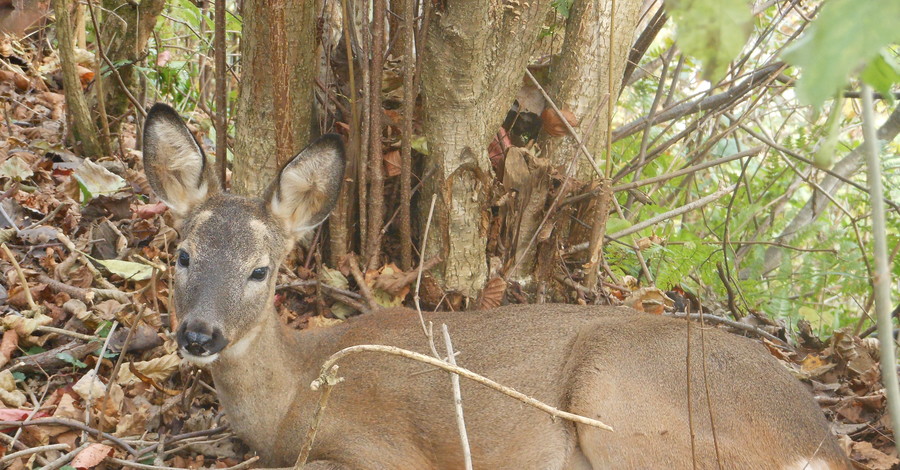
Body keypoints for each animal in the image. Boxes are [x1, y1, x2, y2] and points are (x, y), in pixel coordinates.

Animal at [142, 103, 852, 470]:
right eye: (182, 254)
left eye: (260, 270)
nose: (199, 334)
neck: (297, 391)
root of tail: (816, 446)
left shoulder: (389, 452)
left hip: (623, 404)